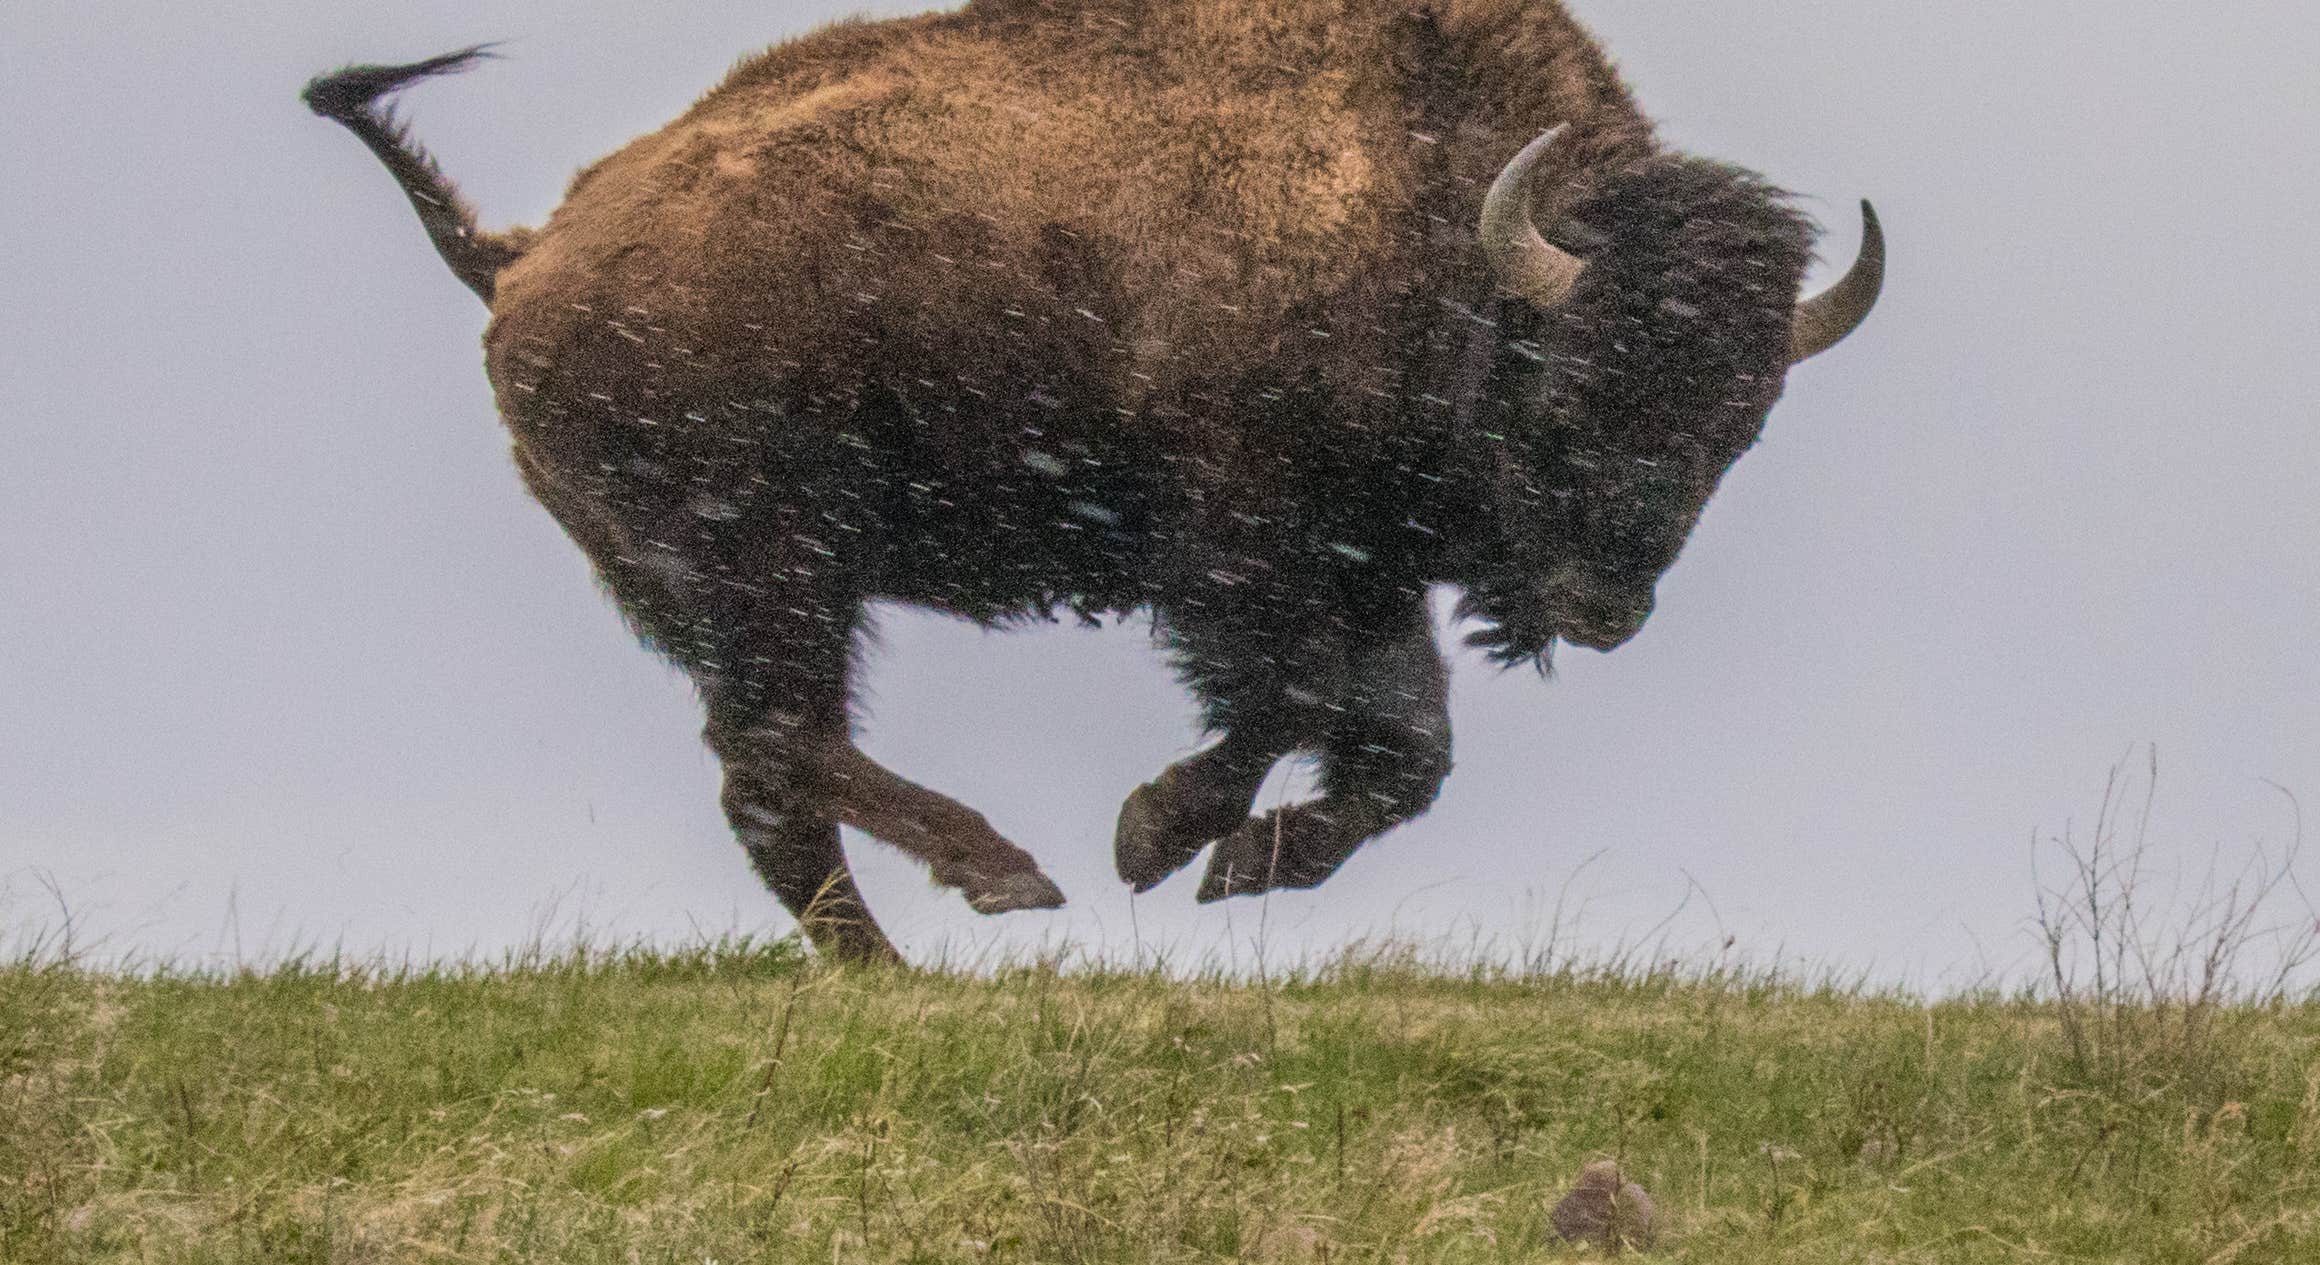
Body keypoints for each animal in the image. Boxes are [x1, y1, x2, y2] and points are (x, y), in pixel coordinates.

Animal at [305, 0, 1883, 962]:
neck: (1428, 216)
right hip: (772, 567)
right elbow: (1293, 704)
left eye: (1740, 424)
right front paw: (1152, 836)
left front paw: (1243, 861)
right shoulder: (1240, 550)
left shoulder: (1360, 576)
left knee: (769, 768)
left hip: (765, 586)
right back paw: (1001, 877)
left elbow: (1400, 751)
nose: (1603, 607)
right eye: (1566, 397)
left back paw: (893, 961)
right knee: (771, 747)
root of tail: (528, 255)